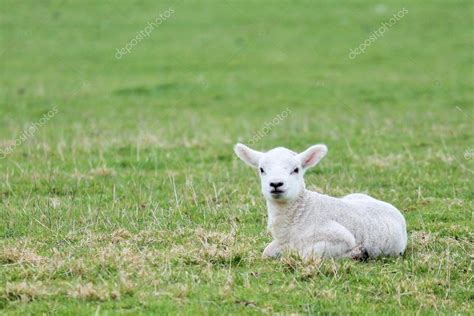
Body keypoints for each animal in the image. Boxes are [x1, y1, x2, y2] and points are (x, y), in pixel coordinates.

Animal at [233, 143, 408, 260]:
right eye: (261, 169)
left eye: (296, 169)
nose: (276, 184)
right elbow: (266, 252)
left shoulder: (339, 237)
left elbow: (306, 255)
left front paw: (356, 253)